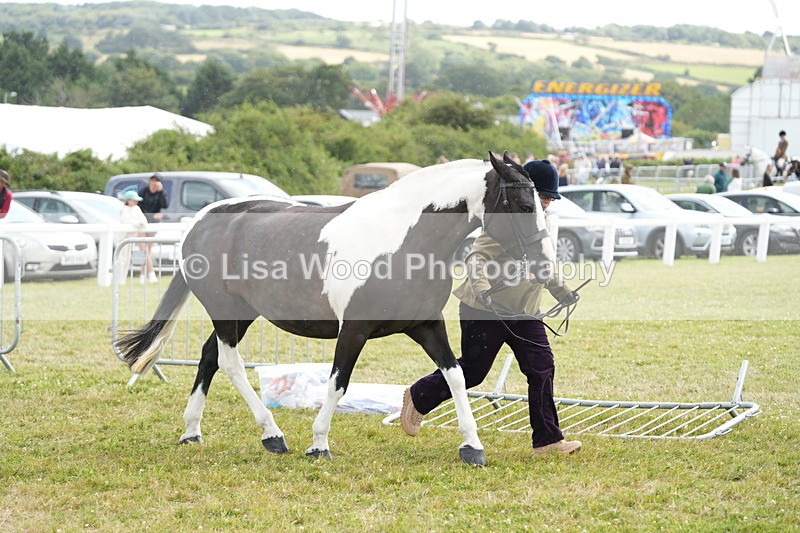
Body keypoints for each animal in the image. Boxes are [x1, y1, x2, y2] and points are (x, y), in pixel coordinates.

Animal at [117, 151, 557, 467]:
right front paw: (318, 445)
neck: (404, 242)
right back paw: (273, 435)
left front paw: (472, 446)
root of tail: (201, 219)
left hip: (243, 314)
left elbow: (455, 376)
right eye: (522, 203)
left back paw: (192, 431)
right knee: (229, 363)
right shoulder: (354, 329)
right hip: (225, 311)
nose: (545, 262)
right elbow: (339, 382)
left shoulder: (427, 326)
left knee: (209, 356)